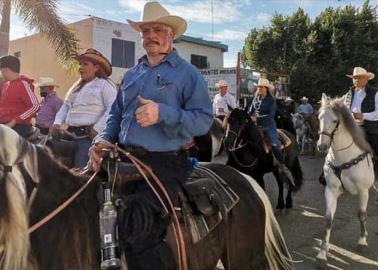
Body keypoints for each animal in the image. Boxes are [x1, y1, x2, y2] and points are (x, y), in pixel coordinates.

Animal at [316, 94, 376, 266]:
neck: (344, 158)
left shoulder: (363, 191)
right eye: (319, 117)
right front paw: (322, 253)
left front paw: (362, 241)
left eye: (335, 120)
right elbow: (328, 219)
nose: (322, 146)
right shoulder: (331, 190)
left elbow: (361, 214)